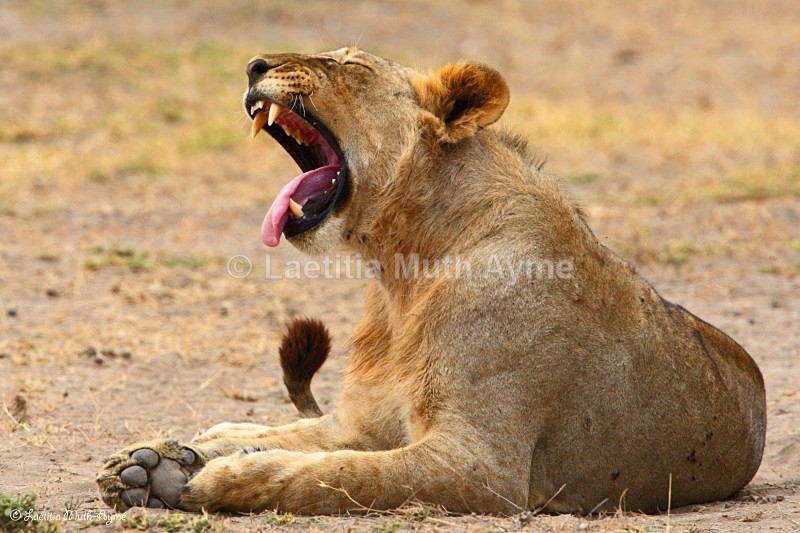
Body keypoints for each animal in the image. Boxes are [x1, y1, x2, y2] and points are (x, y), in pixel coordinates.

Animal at [96, 47, 766, 515]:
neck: (404, 272)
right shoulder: (366, 423)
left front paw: (216, 477)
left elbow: (334, 475)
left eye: (348, 65)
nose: (254, 64)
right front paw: (151, 463)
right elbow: (304, 443)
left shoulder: (480, 466)